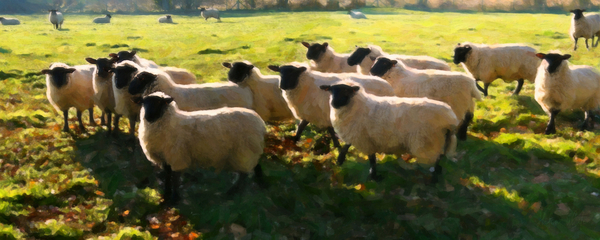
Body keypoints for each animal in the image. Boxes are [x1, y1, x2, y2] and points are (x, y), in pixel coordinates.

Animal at [136, 92, 268, 204]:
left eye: (160, 102)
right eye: (144, 103)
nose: (148, 117)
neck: (170, 123)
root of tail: (260, 121)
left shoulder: (177, 156)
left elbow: (175, 179)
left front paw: (174, 198)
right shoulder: (165, 158)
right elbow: (167, 176)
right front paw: (166, 195)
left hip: (244, 149)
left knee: (244, 173)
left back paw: (233, 191)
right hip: (250, 148)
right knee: (255, 166)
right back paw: (260, 183)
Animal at [322, 83, 458, 183]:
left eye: (347, 91)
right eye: (331, 91)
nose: (334, 103)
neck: (356, 106)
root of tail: (450, 119)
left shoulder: (364, 138)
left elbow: (371, 159)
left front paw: (374, 177)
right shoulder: (359, 135)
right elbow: (347, 146)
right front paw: (339, 160)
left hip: (429, 140)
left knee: (436, 159)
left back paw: (432, 180)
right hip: (440, 139)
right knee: (440, 157)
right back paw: (437, 174)